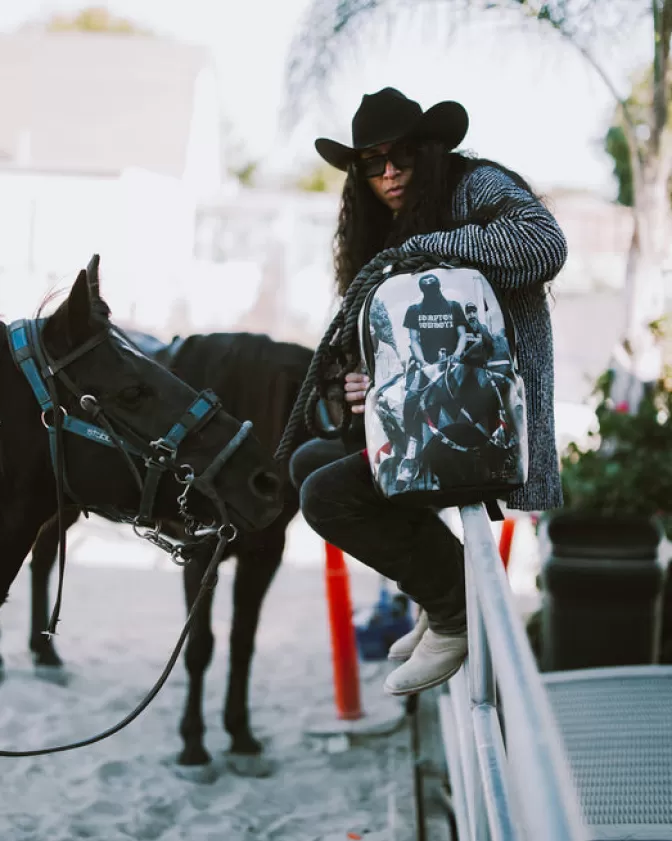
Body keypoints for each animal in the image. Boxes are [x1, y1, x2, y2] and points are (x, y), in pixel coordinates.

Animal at [23, 326, 312, 776]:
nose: (268, 484)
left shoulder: (265, 555)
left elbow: (242, 642)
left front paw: (241, 736)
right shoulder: (201, 554)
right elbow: (199, 647)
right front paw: (194, 744)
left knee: (44, 558)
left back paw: (45, 653)